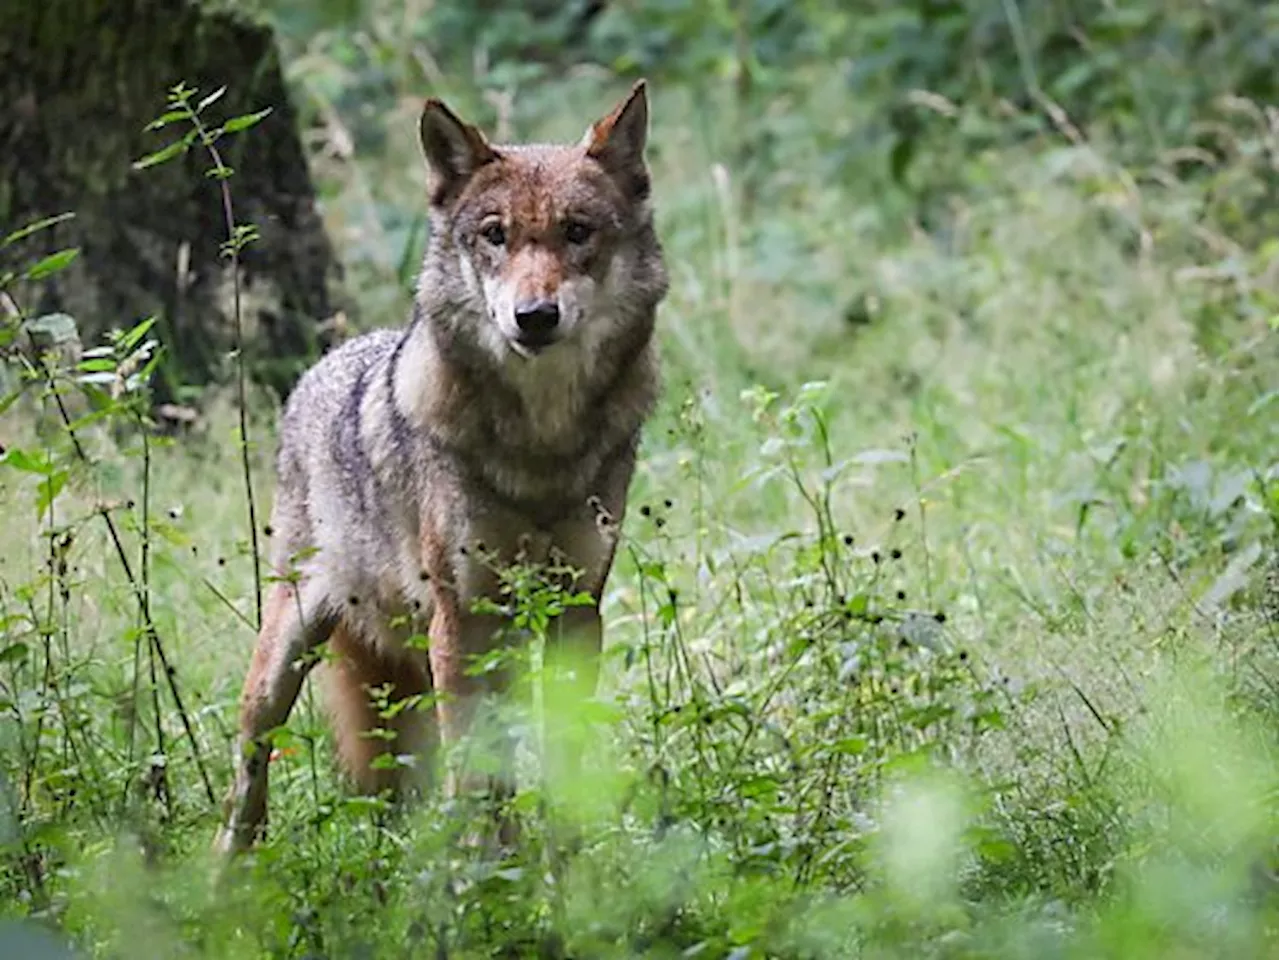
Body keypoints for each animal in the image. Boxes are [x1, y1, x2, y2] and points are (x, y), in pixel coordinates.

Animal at [213, 79, 665, 855]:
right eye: (494, 235)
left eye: (578, 232)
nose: (534, 316)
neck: (541, 444)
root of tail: (325, 363)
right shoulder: (461, 618)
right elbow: (474, 770)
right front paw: (484, 872)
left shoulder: (577, 611)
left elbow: (562, 758)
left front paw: (567, 865)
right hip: (287, 655)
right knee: (250, 770)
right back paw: (226, 873)